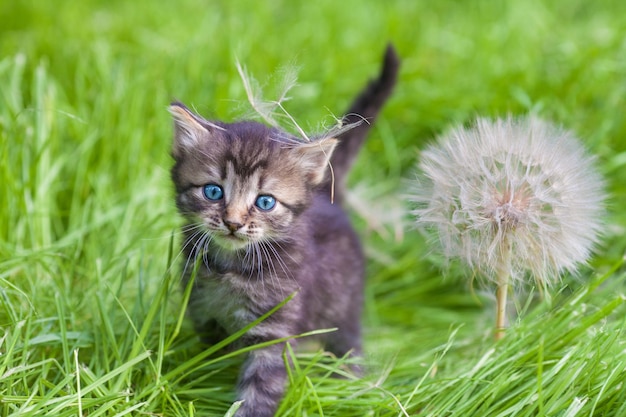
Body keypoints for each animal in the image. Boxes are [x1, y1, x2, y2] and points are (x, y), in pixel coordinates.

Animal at [168, 45, 398, 416]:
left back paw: (349, 385)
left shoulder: (274, 328)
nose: (233, 222)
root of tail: (327, 194)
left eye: (264, 202)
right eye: (213, 192)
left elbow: (260, 389)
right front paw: (203, 387)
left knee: (348, 344)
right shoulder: (203, 315)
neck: (230, 270)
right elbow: (210, 361)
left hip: (343, 305)